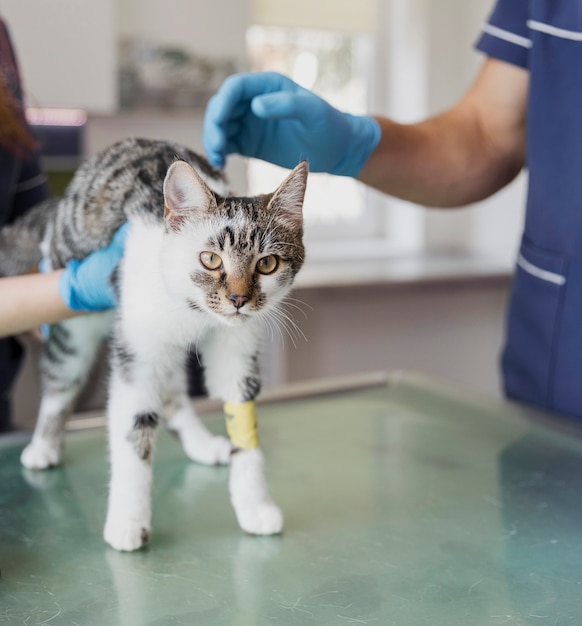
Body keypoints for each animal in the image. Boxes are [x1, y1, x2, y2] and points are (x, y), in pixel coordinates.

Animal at [0, 136, 310, 544]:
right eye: (211, 259)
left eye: (267, 264)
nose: (239, 299)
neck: (194, 311)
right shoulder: (138, 354)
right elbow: (133, 434)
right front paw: (128, 521)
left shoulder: (238, 349)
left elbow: (242, 422)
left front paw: (254, 505)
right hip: (74, 322)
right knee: (61, 380)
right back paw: (44, 444)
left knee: (173, 393)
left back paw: (200, 443)